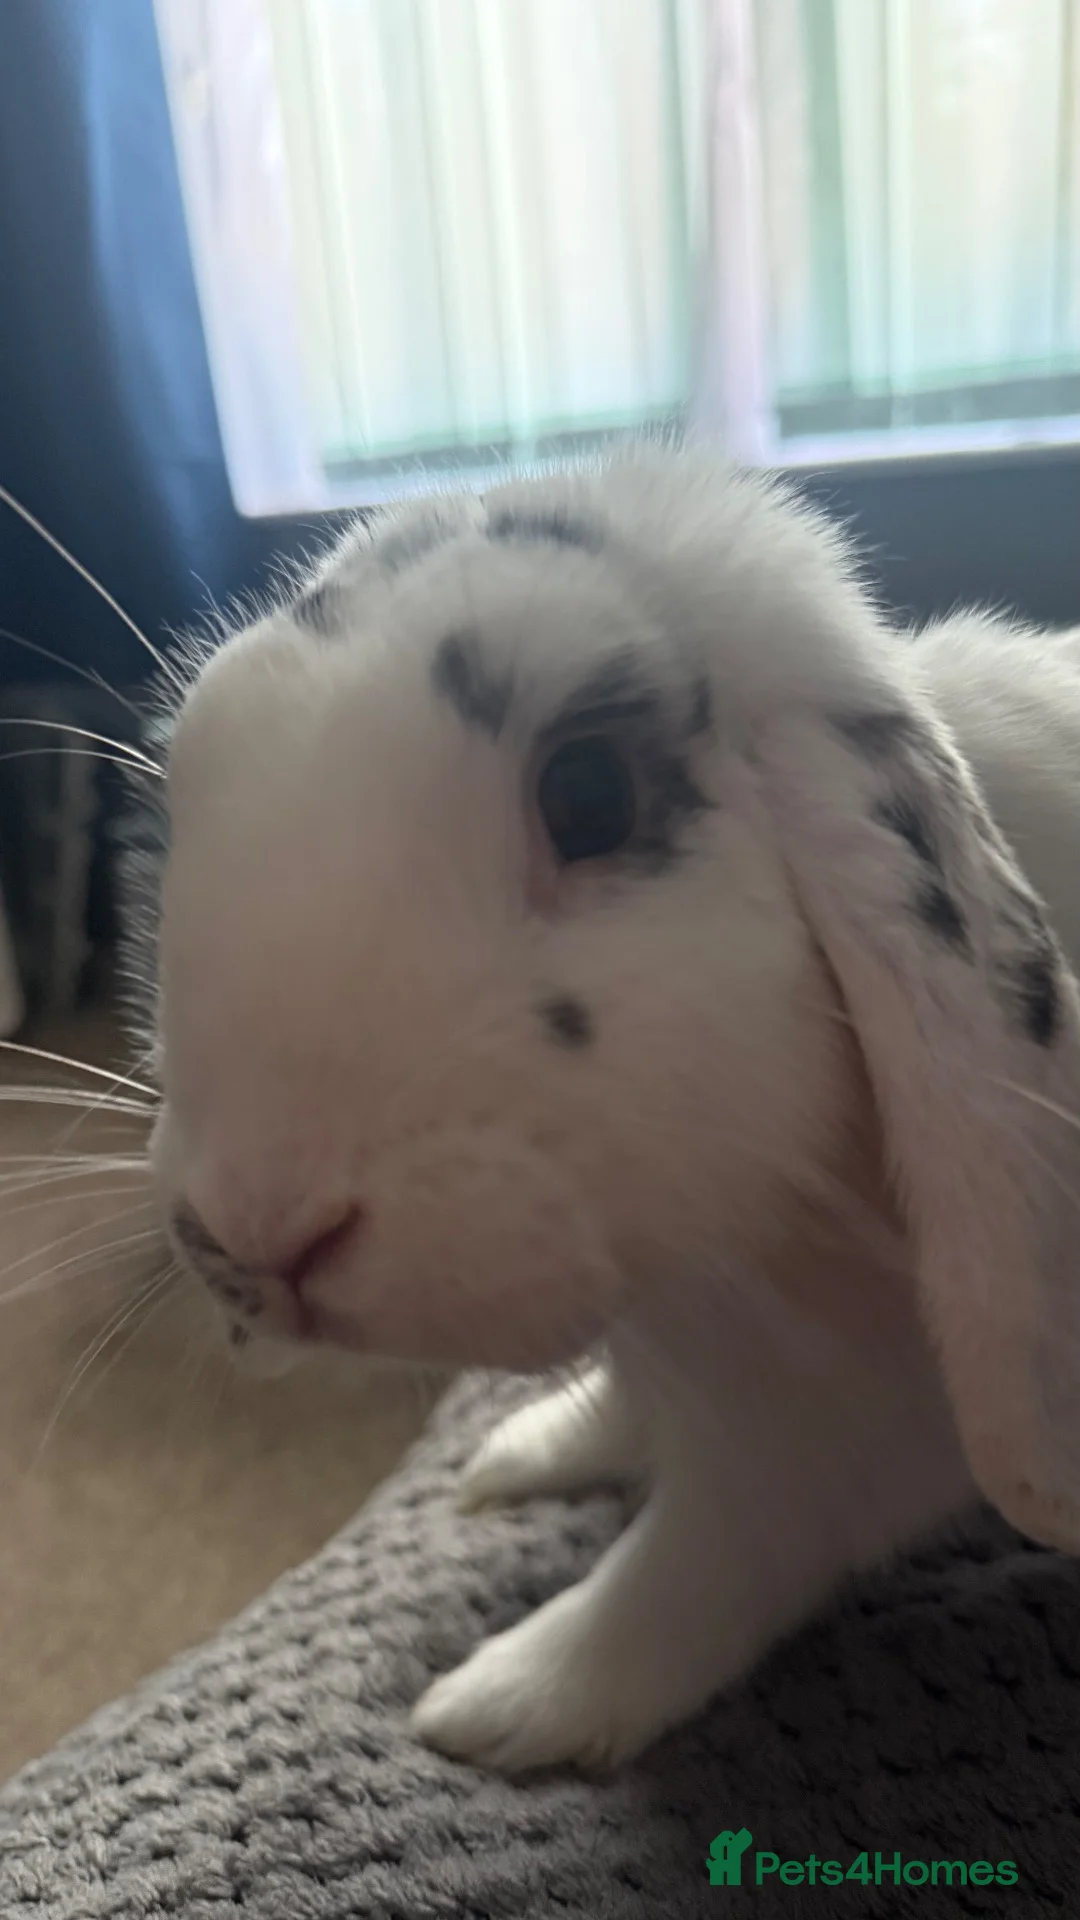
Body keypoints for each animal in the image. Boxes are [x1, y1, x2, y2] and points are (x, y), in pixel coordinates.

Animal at [149, 442, 1080, 1775]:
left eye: (588, 795)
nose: (255, 1236)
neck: (714, 1271)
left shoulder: (837, 1446)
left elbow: (692, 1574)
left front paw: (498, 1706)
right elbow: (625, 1428)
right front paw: (522, 1457)